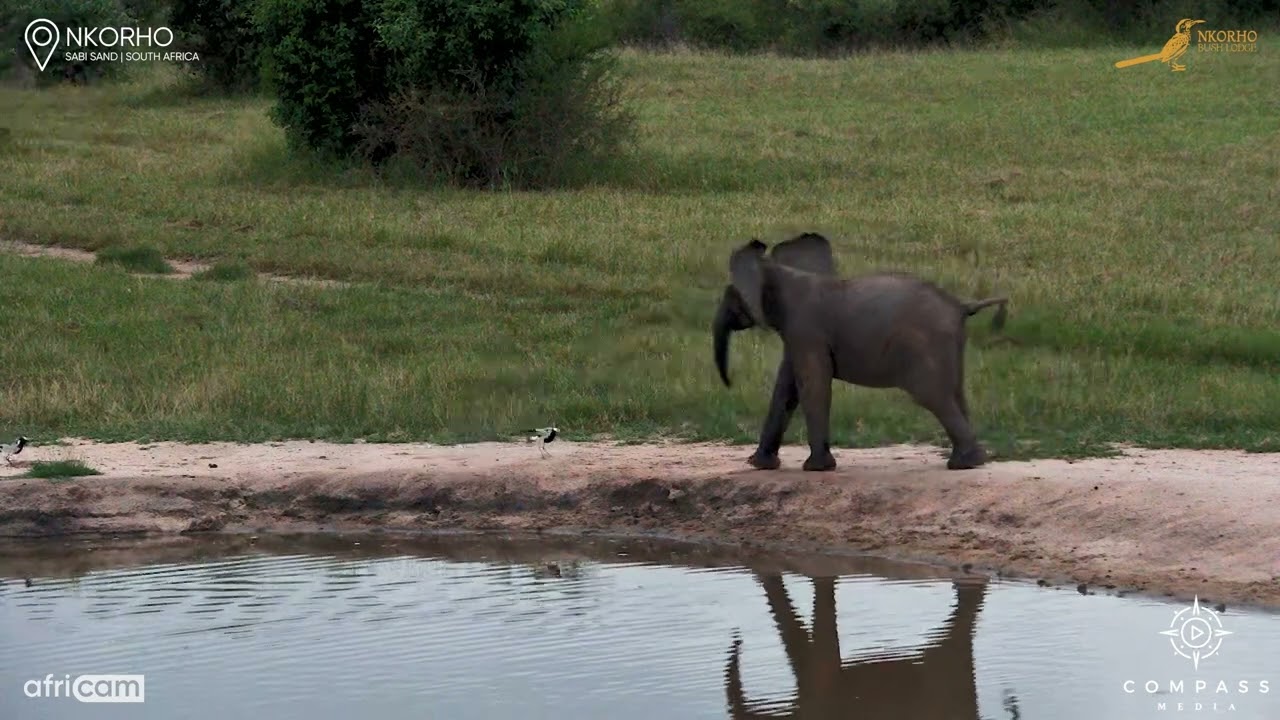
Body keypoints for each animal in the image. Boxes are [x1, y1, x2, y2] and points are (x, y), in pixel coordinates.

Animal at [712, 232, 1008, 472]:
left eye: (732, 295)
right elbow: (787, 387)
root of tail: (961, 306)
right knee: (955, 393)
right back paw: (967, 461)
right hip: (949, 345)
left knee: (931, 395)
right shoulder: (798, 334)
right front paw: (759, 465)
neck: (782, 272)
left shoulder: (806, 329)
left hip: (923, 346)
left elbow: (813, 385)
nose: (729, 383)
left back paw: (964, 464)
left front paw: (816, 469)